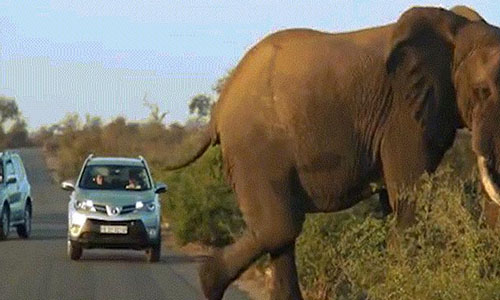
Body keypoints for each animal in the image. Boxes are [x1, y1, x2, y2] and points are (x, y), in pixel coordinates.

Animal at [163, 4, 500, 300]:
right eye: (482, 91)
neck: (458, 31)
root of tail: (220, 104)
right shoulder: (403, 115)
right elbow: (408, 201)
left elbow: (395, 204)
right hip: (255, 149)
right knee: (279, 227)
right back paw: (208, 279)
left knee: (280, 233)